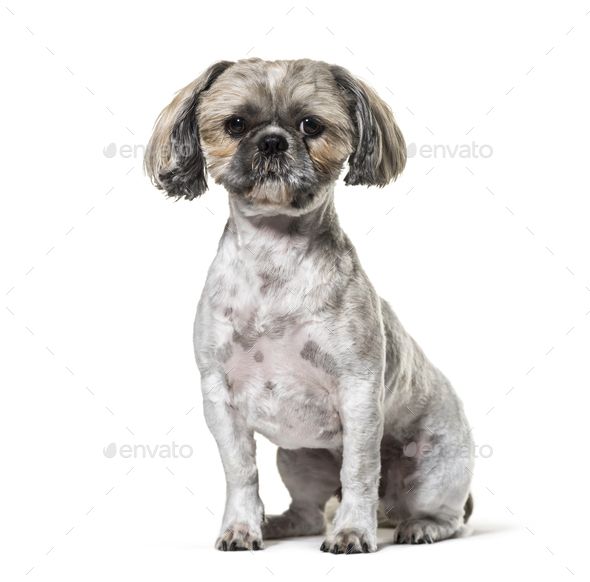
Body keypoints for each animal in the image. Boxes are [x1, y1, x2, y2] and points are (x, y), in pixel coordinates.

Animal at [145, 59, 476, 556]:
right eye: (235, 124)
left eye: (311, 125)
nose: (272, 140)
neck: (274, 258)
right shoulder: (219, 397)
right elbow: (241, 472)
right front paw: (241, 526)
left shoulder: (359, 394)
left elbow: (359, 470)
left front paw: (353, 531)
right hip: (300, 460)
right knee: (306, 512)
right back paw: (278, 523)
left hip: (434, 467)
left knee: (448, 515)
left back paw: (422, 526)